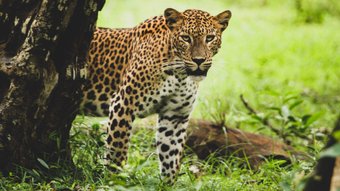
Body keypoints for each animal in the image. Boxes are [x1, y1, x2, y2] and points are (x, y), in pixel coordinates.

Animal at [81, 8, 232, 183]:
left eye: (209, 38)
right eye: (185, 38)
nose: (199, 60)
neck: (179, 75)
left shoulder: (175, 116)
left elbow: (171, 157)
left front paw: (167, 184)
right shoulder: (123, 105)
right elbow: (117, 153)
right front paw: (114, 181)